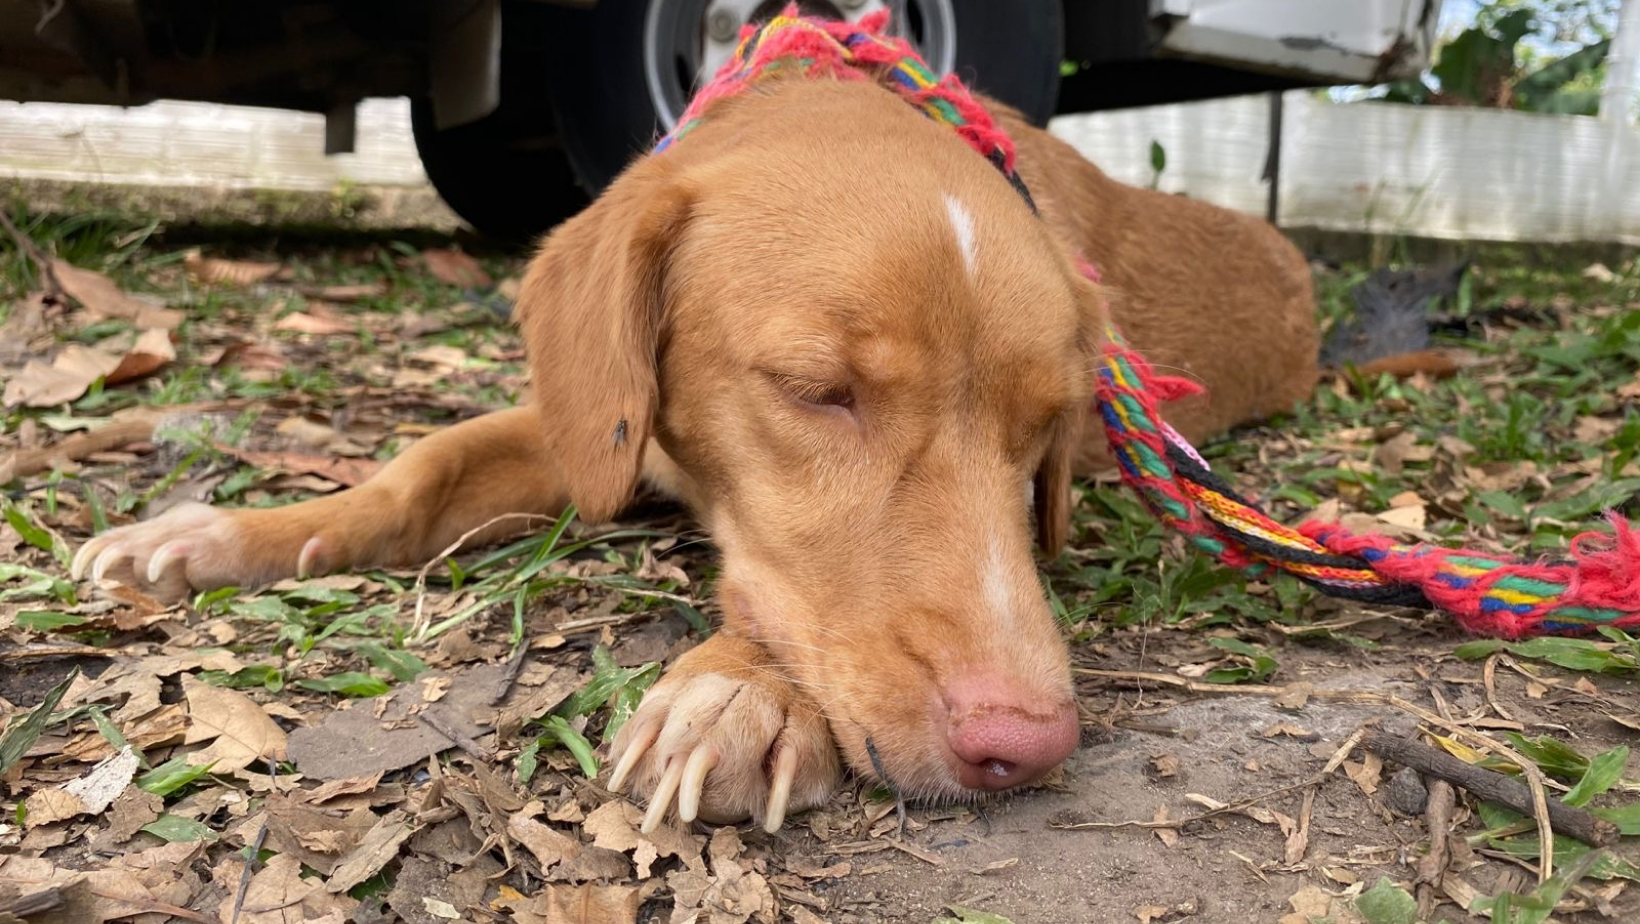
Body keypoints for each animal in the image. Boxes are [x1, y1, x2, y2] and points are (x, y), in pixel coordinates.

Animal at [70, 75, 1318, 833]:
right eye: (819, 392)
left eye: (1041, 436)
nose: (1030, 743)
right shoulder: (594, 432)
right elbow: (414, 472)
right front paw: (228, 532)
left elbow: (774, 606)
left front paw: (735, 694)